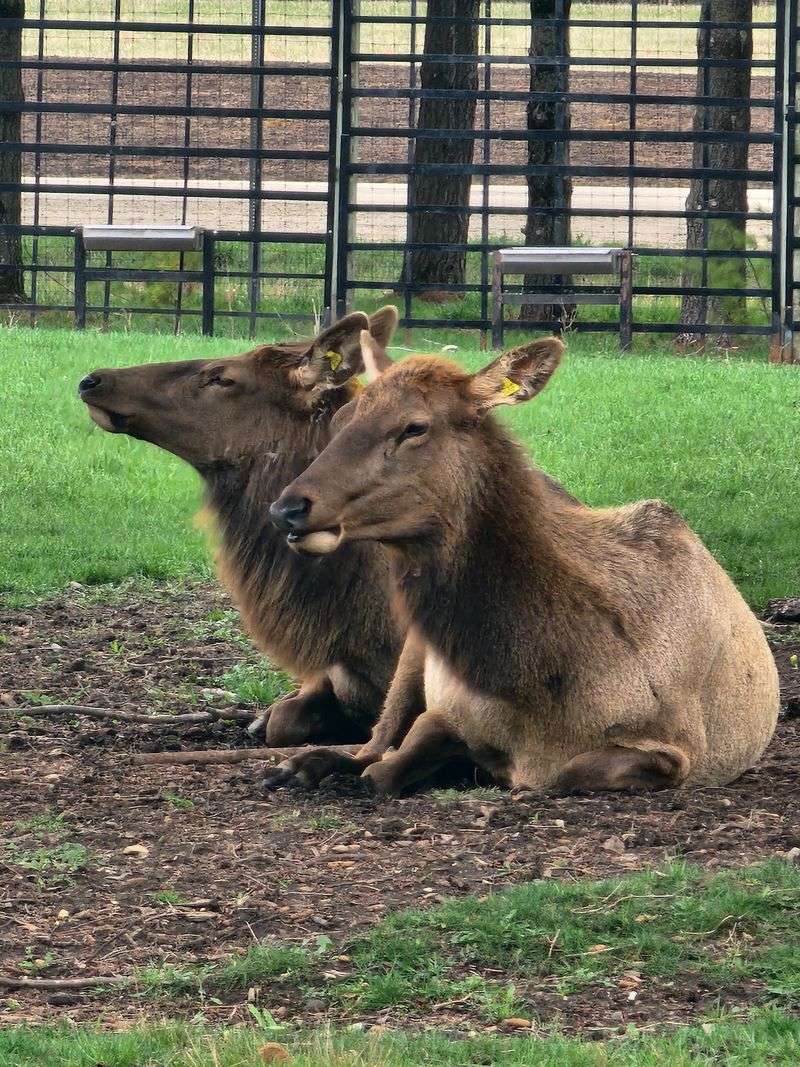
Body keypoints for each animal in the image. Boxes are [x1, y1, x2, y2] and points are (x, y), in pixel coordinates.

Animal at [267, 334, 779, 795]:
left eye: (414, 427)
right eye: (343, 417)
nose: (287, 507)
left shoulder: (680, 747)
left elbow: (565, 773)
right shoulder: (448, 705)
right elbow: (399, 754)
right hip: (414, 649)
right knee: (372, 740)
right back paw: (304, 762)